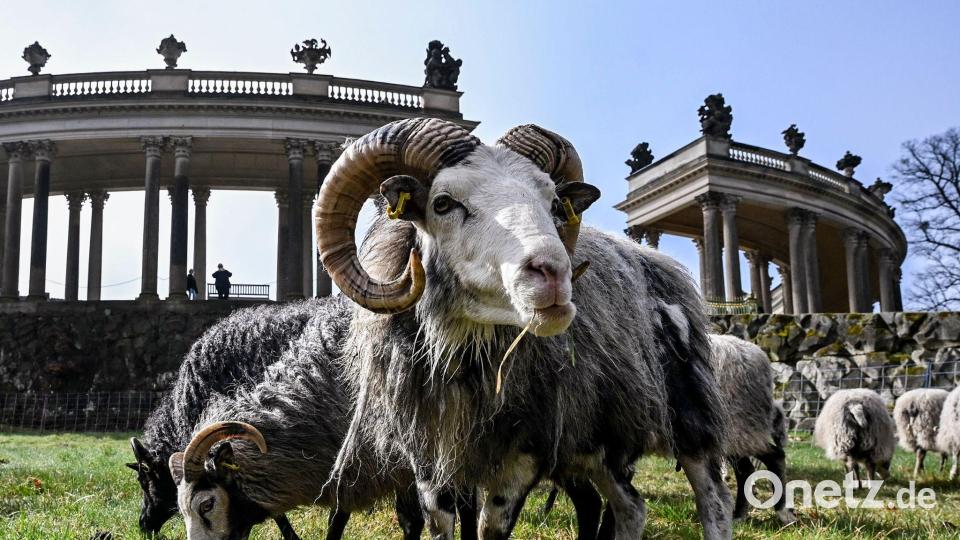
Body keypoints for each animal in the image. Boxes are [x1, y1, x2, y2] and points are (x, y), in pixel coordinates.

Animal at [315, 118, 732, 539]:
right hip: (600, 432)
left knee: (714, 499)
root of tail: (659, 263)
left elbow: (492, 526)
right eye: (443, 203)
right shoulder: (428, 450)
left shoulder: (528, 444)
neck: (467, 359)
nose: (554, 273)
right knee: (630, 506)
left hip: (687, 410)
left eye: (554, 205)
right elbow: (441, 522)